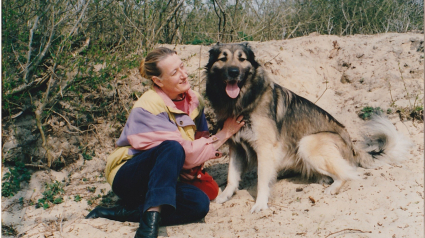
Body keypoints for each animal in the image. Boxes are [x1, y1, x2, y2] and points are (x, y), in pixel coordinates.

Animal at [205, 42, 410, 214]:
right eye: (222, 58)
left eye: (242, 59)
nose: (233, 72)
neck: (244, 101)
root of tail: (352, 147)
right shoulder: (236, 146)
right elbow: (232, 176)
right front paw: (224, 196)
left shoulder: (265, 148)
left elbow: (262, 180)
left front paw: (260, 204)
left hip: (307, 143)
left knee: (347, 174)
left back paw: (332, 188)